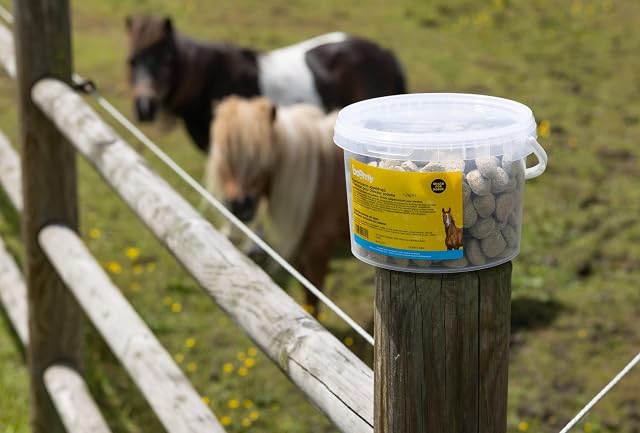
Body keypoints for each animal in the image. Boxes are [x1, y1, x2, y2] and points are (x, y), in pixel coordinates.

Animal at [205, 96, 349, 314]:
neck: (320, 177)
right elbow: (308, 294)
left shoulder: (318, 246)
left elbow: (314, 296)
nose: (239, 206)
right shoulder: (302, 247)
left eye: (261, 158)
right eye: (224, 155)